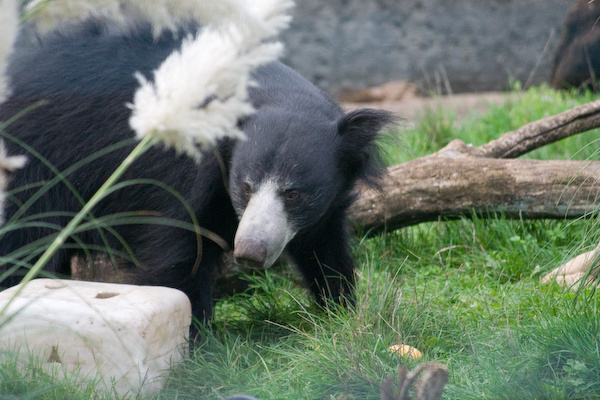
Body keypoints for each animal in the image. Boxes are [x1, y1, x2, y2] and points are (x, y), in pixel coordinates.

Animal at [0, 23, 392, 324]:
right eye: (245, 187)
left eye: (293, 193)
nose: (250, 253)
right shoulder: (179, 178)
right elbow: (176, 258)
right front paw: (196, 347)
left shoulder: (328, 203)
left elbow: (325, 249)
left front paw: (341, 315)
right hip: (38, 163)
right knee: (23, 239)